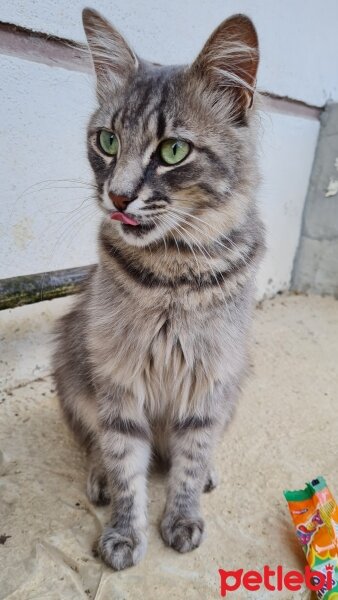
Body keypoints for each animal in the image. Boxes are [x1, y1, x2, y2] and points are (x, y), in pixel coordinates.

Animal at [52, 9, 266, 572]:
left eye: (173, 150)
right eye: (107, 141)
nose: (117, 196)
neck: (174, 273)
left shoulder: (209, 381)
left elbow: (190, 460)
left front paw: (184, 517)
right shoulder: (119, 379)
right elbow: (127, 466)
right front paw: (124, 534)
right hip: (72, 370)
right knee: (95, 444)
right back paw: (100, 477)